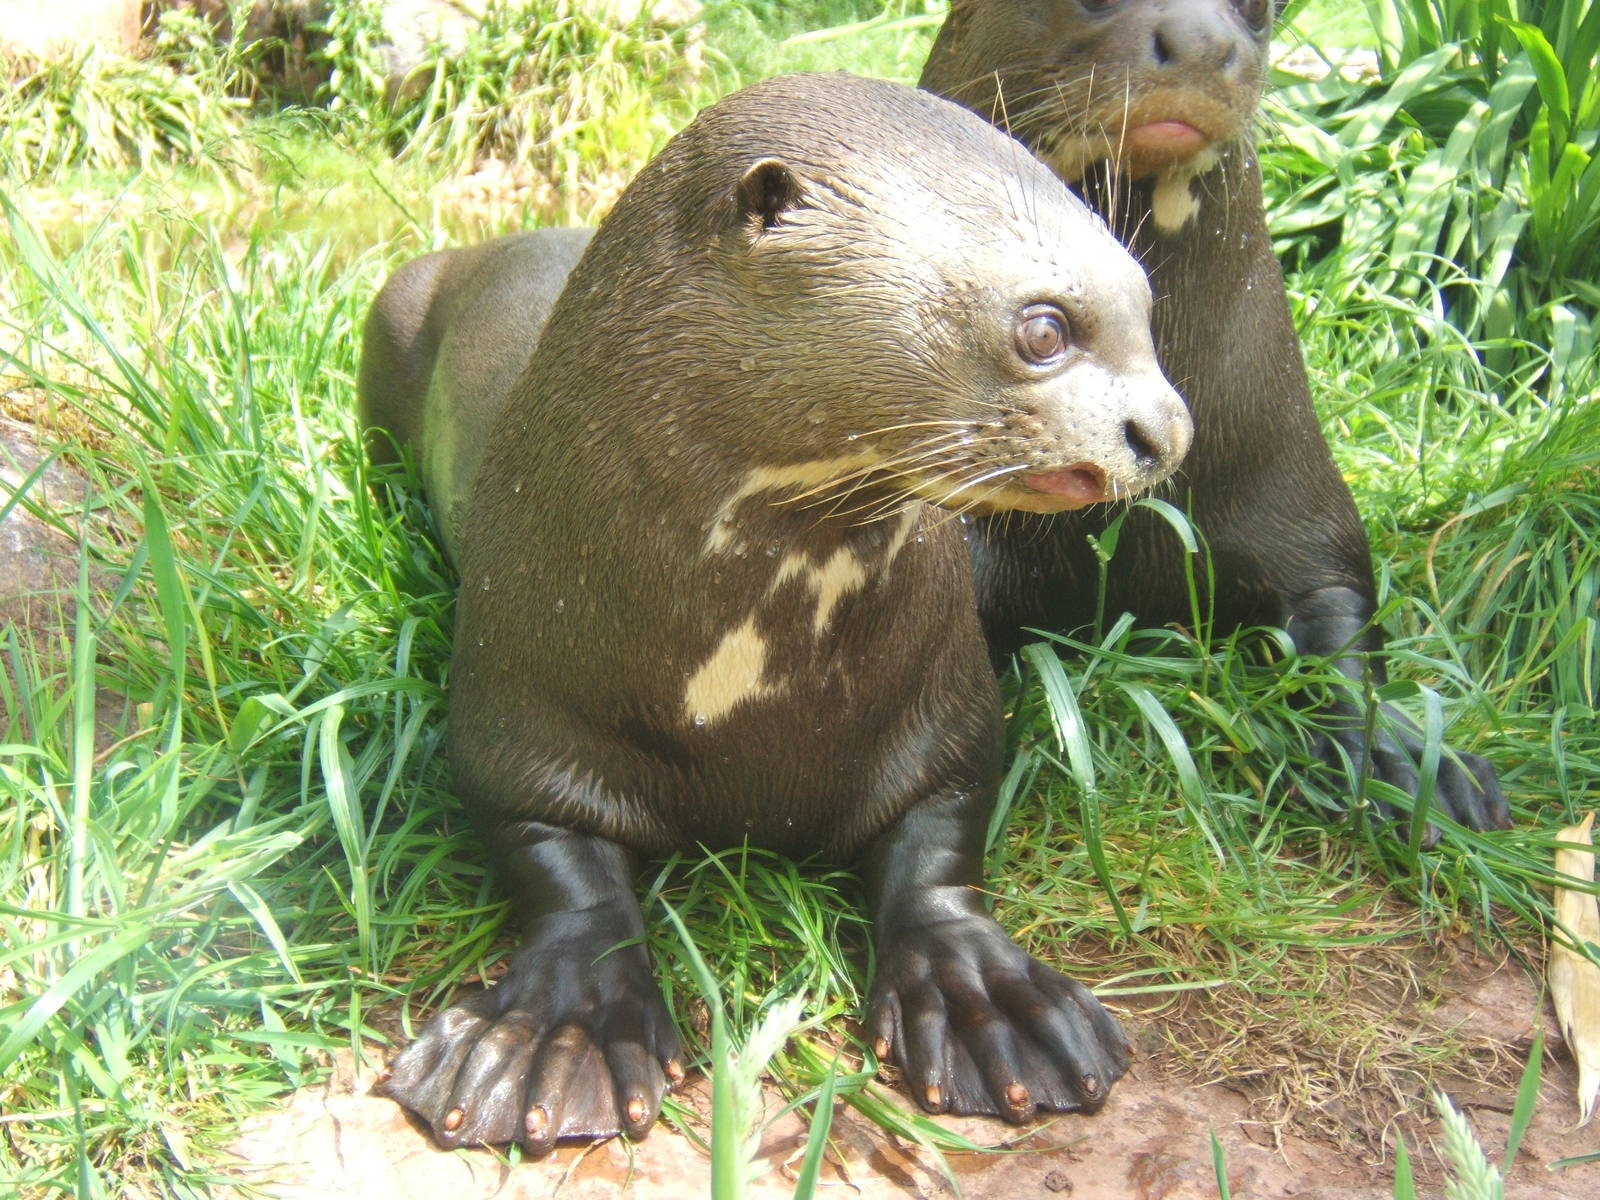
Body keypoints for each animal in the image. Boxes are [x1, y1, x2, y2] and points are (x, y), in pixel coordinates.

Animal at [358, 72, 1193, 1148]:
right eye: (1043, 329)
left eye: (1147, 305)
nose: (1166, 428)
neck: (751, 680)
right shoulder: (519, 714)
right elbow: (558, 870)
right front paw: (554, 1039)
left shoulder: (943, 714)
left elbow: (943, 838)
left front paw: (990, 1004)